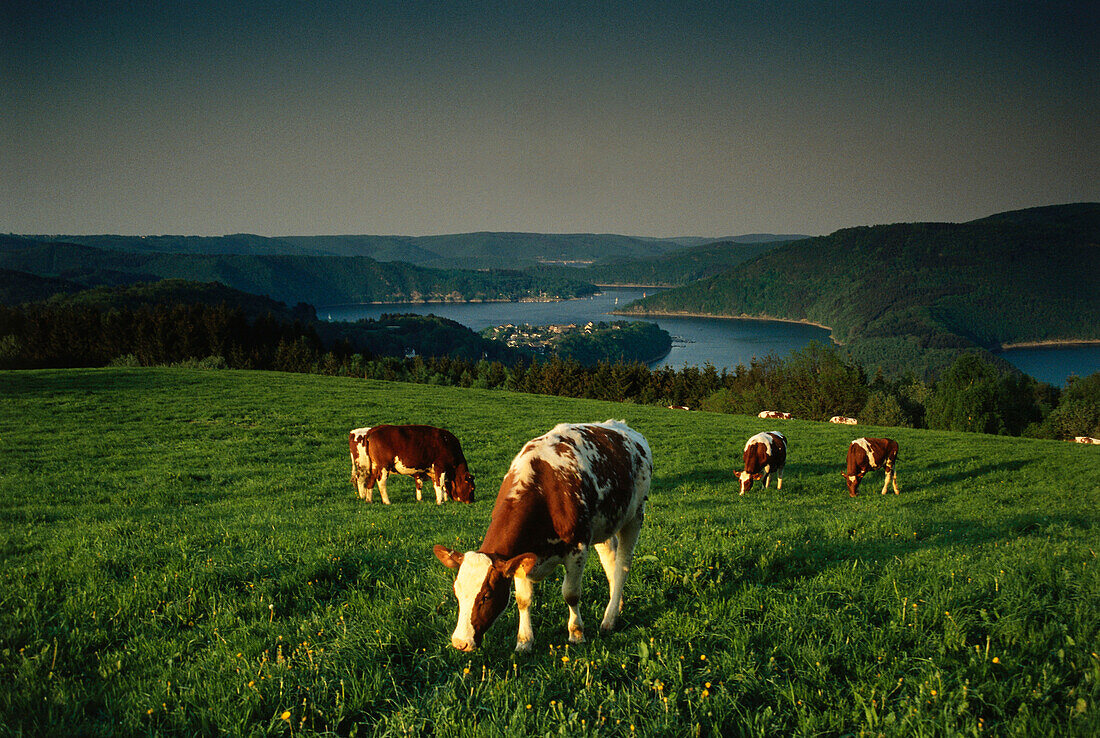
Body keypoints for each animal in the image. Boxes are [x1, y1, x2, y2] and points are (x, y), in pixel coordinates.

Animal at [431, 422, 651, 651]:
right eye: (456, 591)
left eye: (486, 596)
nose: (460, 642)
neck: (545, 488)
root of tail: (620, 426)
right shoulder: (521, 557)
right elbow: (523, 599)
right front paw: (524, 641)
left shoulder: (577, 548)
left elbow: (571, 594)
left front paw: (576, 633)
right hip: (604, 524)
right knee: (610, 561)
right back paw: (616, 606)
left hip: (635, 516)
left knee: (622, 566)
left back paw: (609, 619)